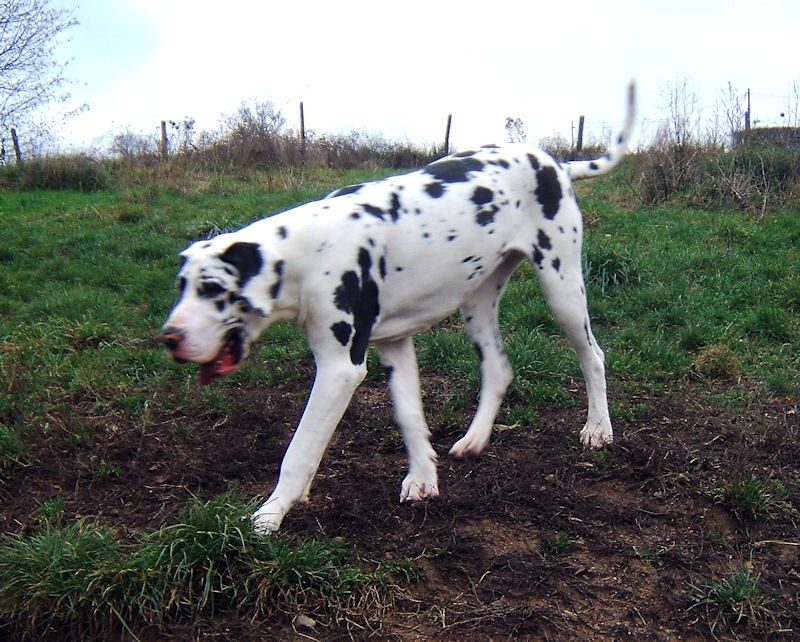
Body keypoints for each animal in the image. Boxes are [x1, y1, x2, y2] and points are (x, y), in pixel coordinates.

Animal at [161, 81, 636, 528]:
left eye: (211, 287)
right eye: (181, 285)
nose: (169, 337)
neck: (309, 248)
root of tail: (555, 162)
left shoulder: (339, 369)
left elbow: (299, 451)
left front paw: (268, 516)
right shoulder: (394, 344)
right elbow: (409, 417)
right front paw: (423, 478)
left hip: (562, 290)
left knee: (593, 356)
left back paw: (598, 429)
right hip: (477, 304)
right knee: (499, 370)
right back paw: (474, 440)